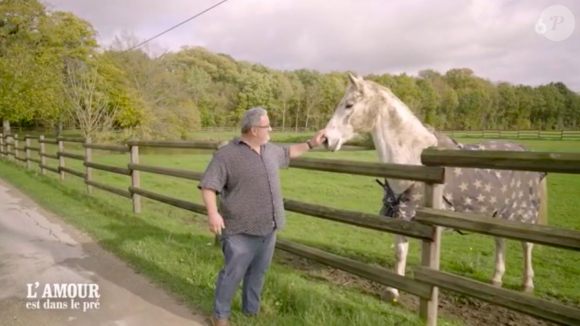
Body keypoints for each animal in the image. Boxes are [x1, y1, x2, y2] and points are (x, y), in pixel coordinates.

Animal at [322, 72, 548, 302]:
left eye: (349, 105)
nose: (325, 139)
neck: (416, 160)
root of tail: (522, 148)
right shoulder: (400, 215)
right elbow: (400, 252)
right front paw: (392, 291)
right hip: (498, 213)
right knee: (500, 240)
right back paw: (496, 279)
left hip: (522, 213)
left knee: (526, 244)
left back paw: (527, 285)